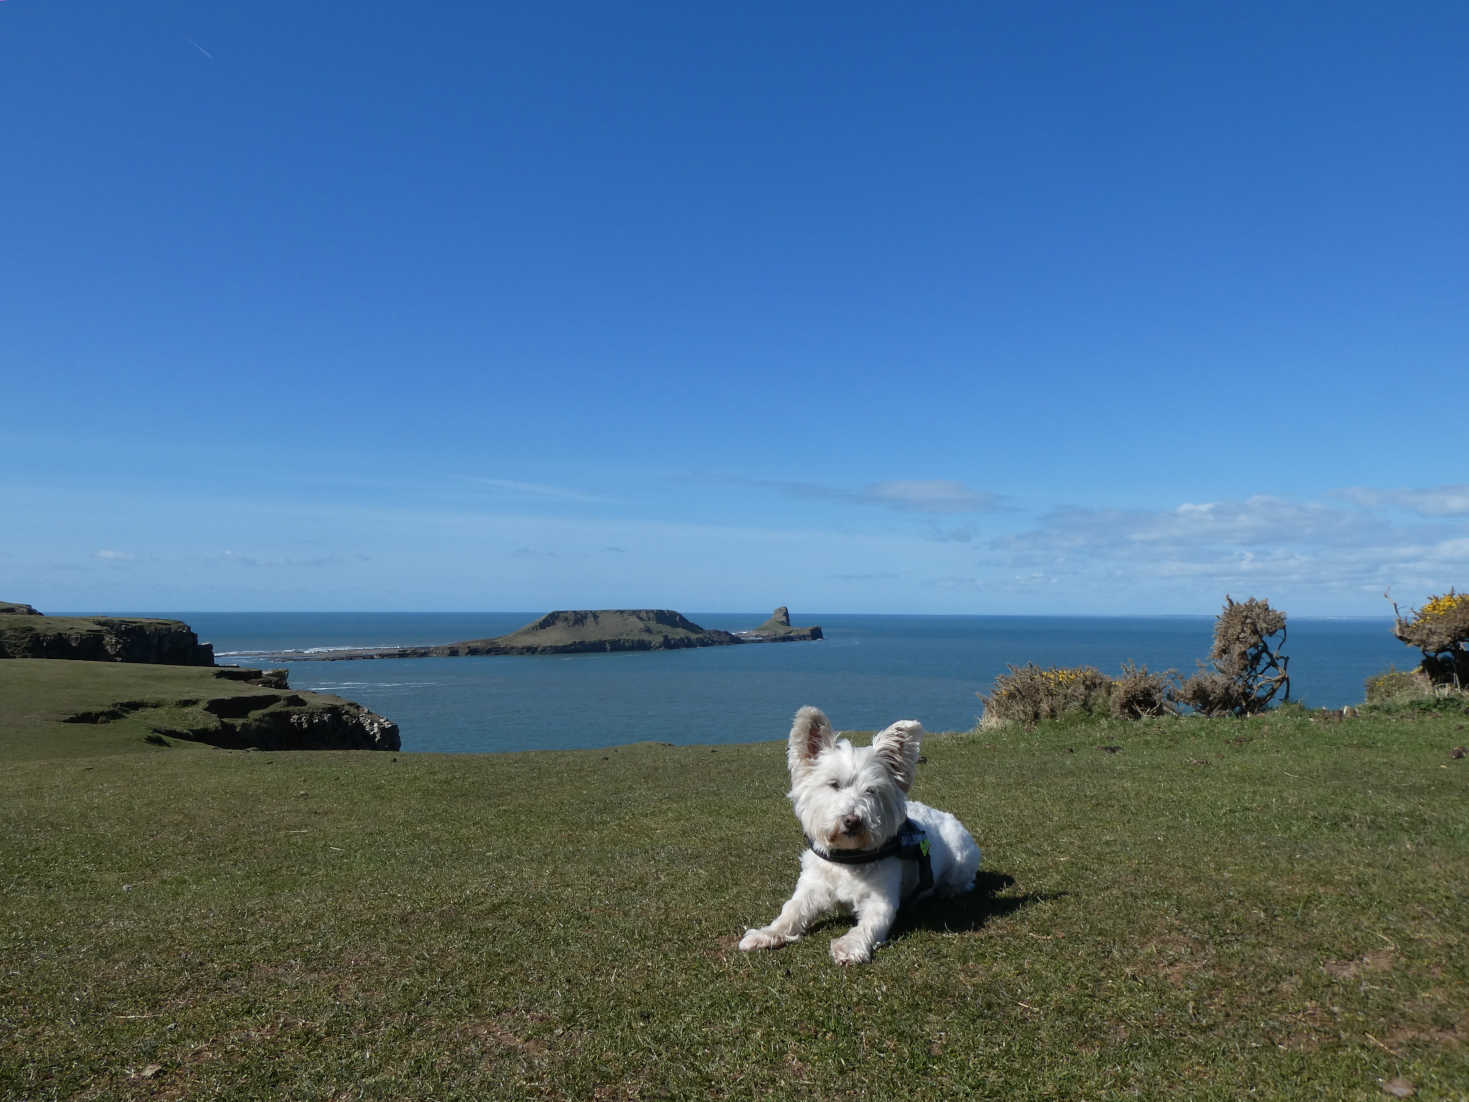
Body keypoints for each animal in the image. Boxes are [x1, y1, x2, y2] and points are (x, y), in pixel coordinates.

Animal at [740, 711, 981, 963]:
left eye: (871, 791)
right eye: (834, 784)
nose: (852, 820)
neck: (848, 858)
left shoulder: (880, 899)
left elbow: (869, 925)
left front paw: (849, 945)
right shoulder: (811, 887)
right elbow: (791, 911)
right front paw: (766, 934)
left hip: (960, 863)